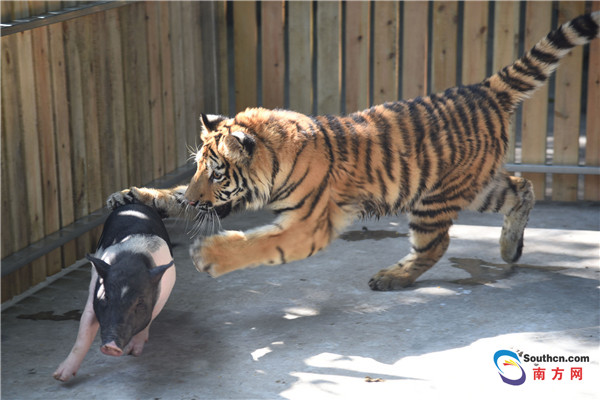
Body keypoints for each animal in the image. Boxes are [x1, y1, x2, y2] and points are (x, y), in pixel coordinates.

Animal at [53, 205, 176, 382]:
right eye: (106, 296)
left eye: (140, 303)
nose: (111, 346)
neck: (133, 257)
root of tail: (135, 204)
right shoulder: (94, 293)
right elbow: (84, 332)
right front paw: (60, 377)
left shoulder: (164, 293)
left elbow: (149, 319)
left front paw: (133, 352)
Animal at [109, 11, 600, 290]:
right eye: (197, 169)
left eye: (217, 173)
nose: (197, 202)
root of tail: (484, 89)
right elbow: (169, 194)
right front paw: (128, 195)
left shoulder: (308, 224)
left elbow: (259, 243)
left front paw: (210, 256)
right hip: (473, 186)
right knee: (522, 186)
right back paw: (509, 249)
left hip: (434, 199)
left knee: (436, 244)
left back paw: (392, 278)